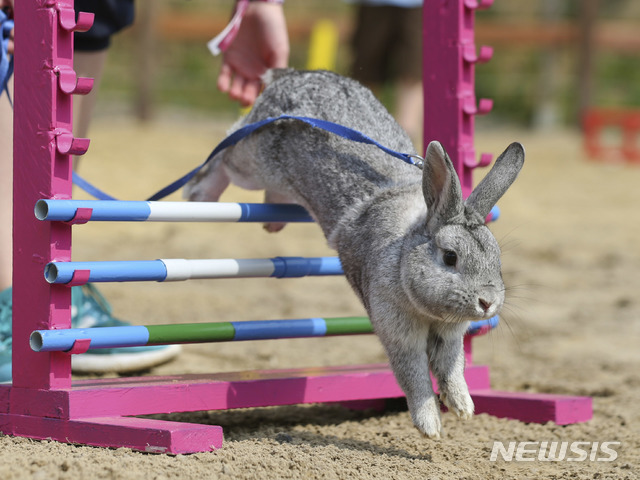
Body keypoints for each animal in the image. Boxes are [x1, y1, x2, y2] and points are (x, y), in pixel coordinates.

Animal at [182, 68, 524, 438]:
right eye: (450, 256)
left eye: (497, 259)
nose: (487, 302)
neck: (403, 255)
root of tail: (292, 75)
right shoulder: (398, 333)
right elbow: (415, 377)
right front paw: (430, 426)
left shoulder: (449, 338)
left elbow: (452, 368)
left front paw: (463, 408)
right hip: (252, 160)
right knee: (225, 149)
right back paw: (199, 194)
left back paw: (272, 222)